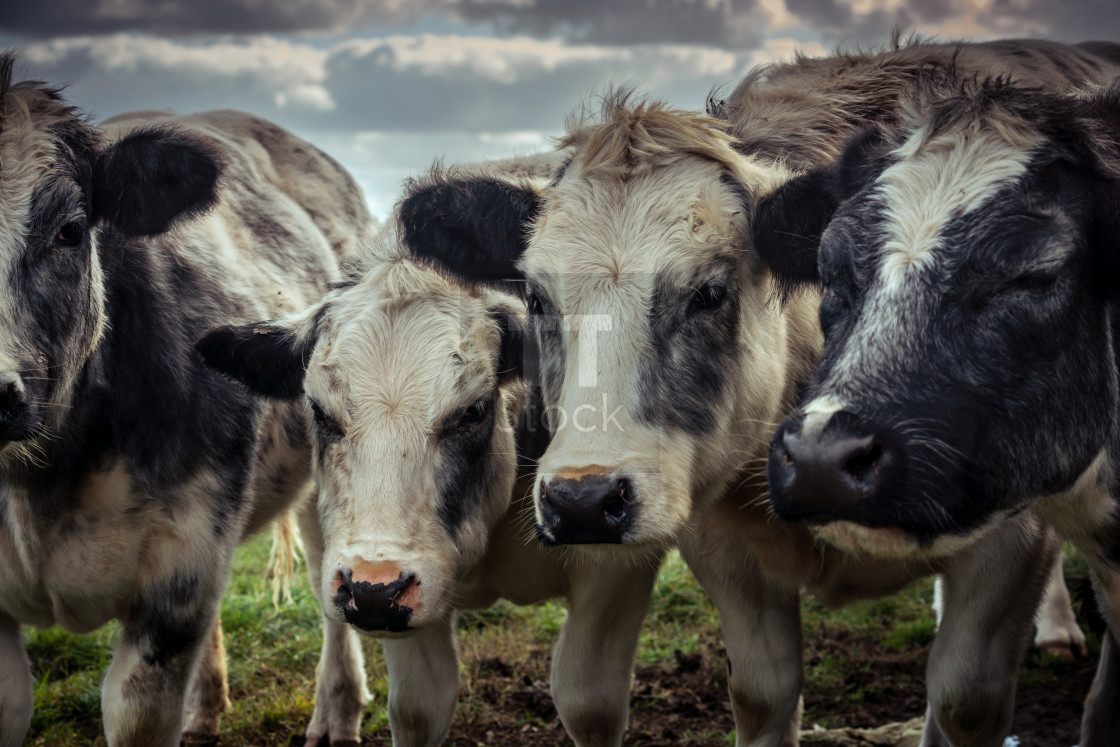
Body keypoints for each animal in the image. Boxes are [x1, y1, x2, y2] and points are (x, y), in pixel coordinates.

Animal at [196, 159, 658, 747]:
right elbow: (419, 710)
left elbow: (589, 704)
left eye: (473, 411)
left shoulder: (619, 570)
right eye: (319, 412)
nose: (372, 589)